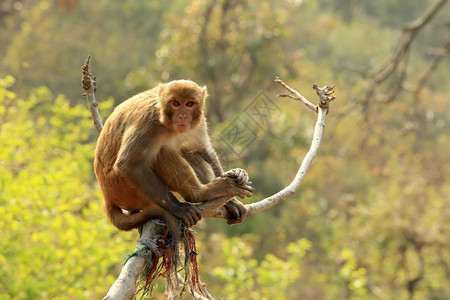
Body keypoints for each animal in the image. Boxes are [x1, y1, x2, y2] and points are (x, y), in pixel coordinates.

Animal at [93, 79, 255, 239]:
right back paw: (199, 194)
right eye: (175, 103)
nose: (182, 116)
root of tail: (107, 197)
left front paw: (232, 200)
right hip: (124, 189)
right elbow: (128, 164)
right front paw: (179, 209)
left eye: (189, 104)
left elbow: (203, 150)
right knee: (162, 152)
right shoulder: (149, 122)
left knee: (186, 151)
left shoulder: (199, 122)